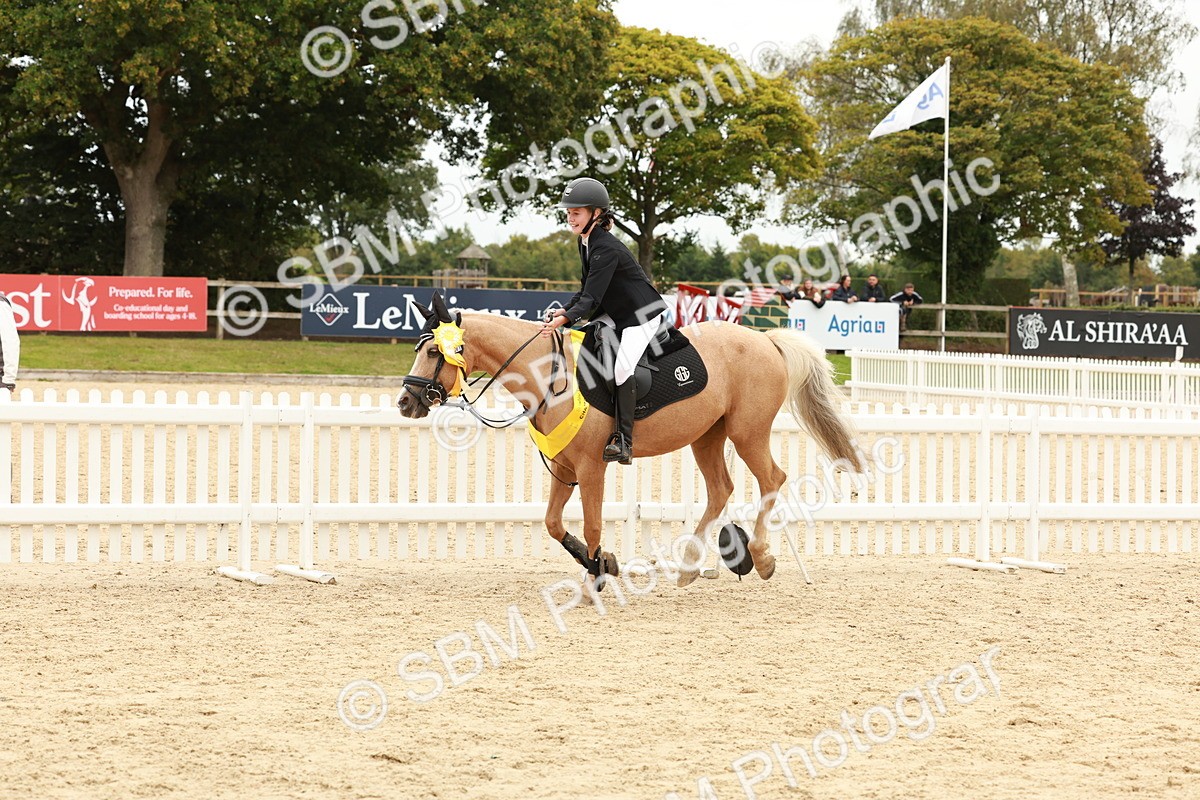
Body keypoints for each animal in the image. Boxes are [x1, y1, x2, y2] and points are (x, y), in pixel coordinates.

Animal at [398, 292, 864, 589]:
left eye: (436, 353)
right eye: (420, 349)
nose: (406, 401)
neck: (548, 374)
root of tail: (765, 338)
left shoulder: (591, 468)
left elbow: (592, 522)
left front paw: (596, 576)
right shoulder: (564, 468)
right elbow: (553, 524)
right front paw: (601, 561)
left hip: (747, 432)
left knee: (771, 479)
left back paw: (762, 556)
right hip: (707, 436)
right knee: (721, 489)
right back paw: (690, 567)